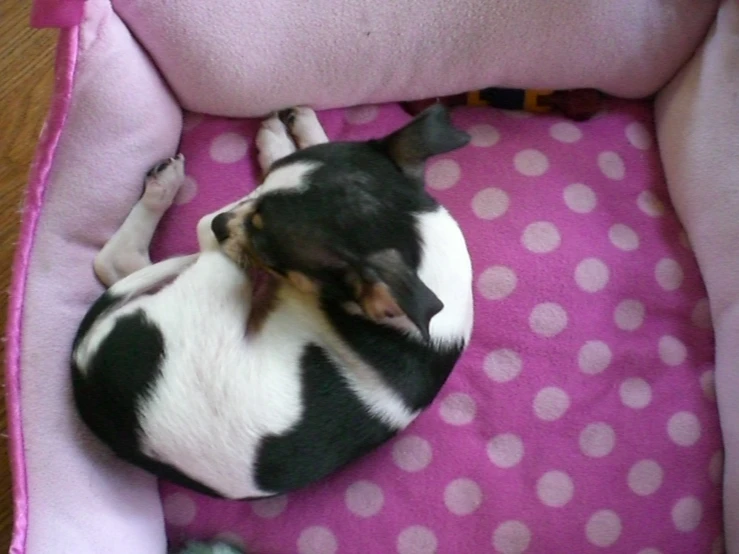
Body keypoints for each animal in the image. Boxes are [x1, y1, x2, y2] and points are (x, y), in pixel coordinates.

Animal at [69, 105, 474, 506]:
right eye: (263, 189)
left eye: (271, 253)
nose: (223, 225)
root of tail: (82, 367)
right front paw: (295, 133)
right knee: (118, 264)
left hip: (218, 279)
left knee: (128, 256)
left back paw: (170, 192)